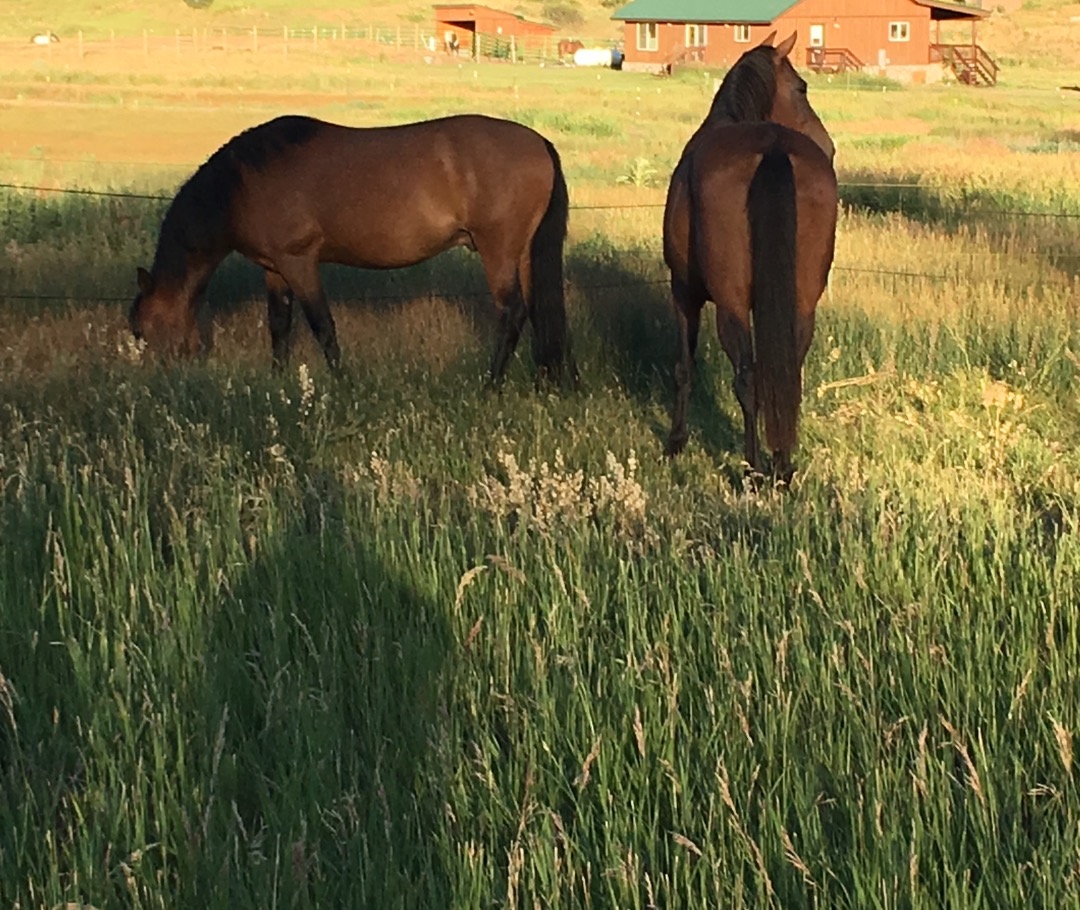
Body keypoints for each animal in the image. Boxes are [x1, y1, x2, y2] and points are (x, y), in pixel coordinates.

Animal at [130, 114, 576, 386]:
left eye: (145, 329)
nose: (156, 380)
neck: (243, 185)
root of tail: (539, 142)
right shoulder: (273, 269)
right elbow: (279, 325)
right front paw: (278, 379)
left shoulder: (299, 262)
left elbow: (322, 326)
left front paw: (341, 383)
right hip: (523, 253)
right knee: (538, 312)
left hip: (497, 251)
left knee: (512, 312)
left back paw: (490, 386)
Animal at [662, 31, 837, 482]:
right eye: (802, 88)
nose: (830, 146)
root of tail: (772, 147)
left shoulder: (683, 293)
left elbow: (683, 368)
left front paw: (675, 442)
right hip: (803, 303)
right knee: (787, 374)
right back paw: (782, 466)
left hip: (731, 305)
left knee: (746, 377)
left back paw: (754, 469)